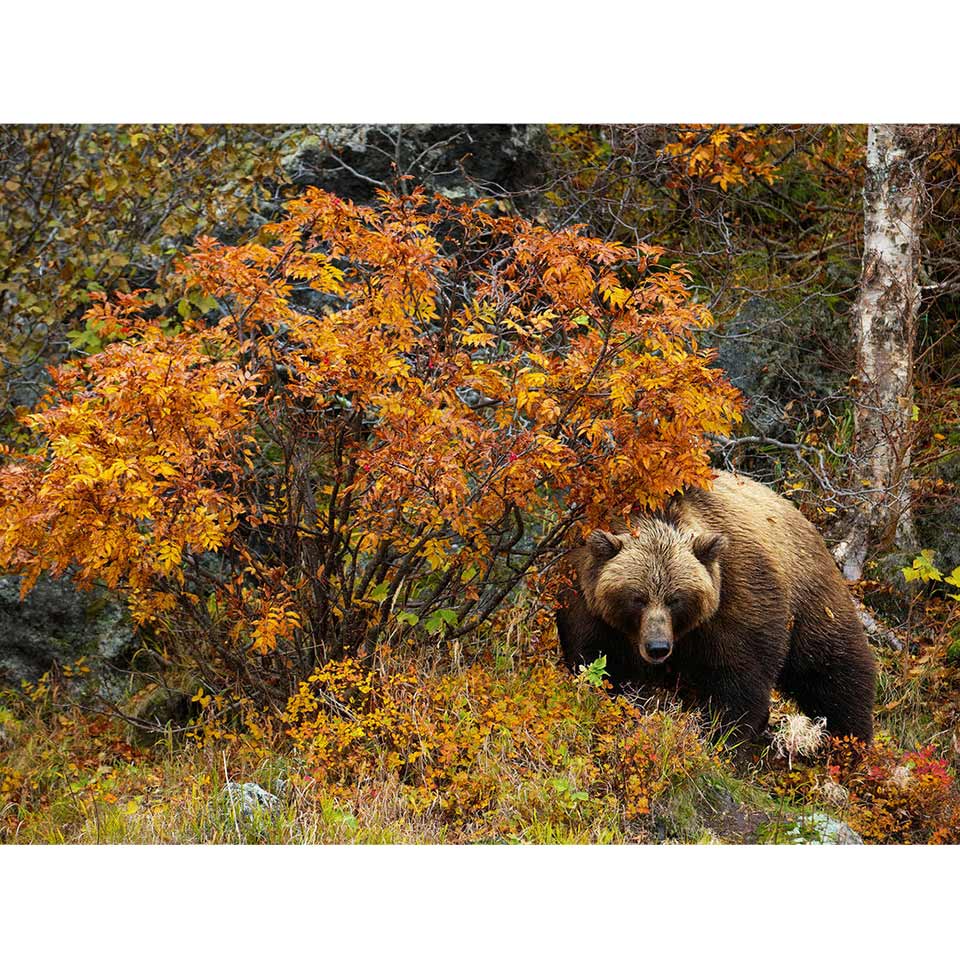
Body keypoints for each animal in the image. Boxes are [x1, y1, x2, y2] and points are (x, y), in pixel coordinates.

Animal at [556, 470, 877, 743]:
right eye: (637, 597)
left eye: (675, 598)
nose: (658, 647)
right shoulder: (586, 599)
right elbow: (597, 661)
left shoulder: (736, 596)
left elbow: (739, 677)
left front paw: (723, 736)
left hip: (809, 596)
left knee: (834, 669)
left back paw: (851, 742)